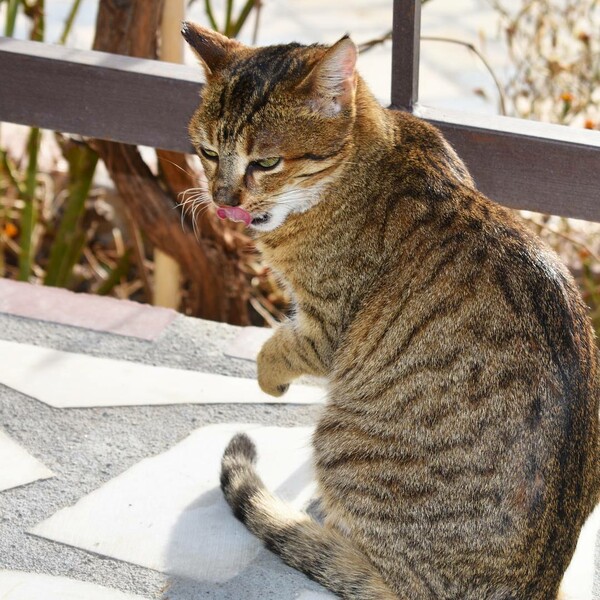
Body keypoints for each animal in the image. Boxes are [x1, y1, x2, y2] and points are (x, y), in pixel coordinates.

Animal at [182, 23, 600, 600]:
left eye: (265, 163)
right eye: (205, 151)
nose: (222, 200)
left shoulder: (325, 326)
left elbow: (280, 344)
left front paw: (269, 378)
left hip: (339, 440)